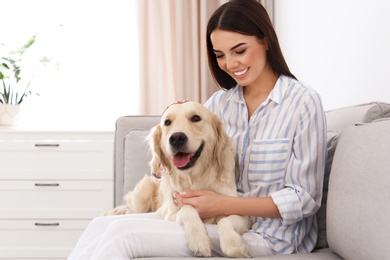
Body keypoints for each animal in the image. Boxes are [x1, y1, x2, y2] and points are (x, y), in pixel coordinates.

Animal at [105, 100, 251, 256]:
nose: (176, 138)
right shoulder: (169, 212)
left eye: (196, 118)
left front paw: (234, 245)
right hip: (142, 196)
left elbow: (225, 222)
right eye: (167, 122)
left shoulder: (243, 216)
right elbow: (187, 209)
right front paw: (199, 240)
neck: (194, 178)